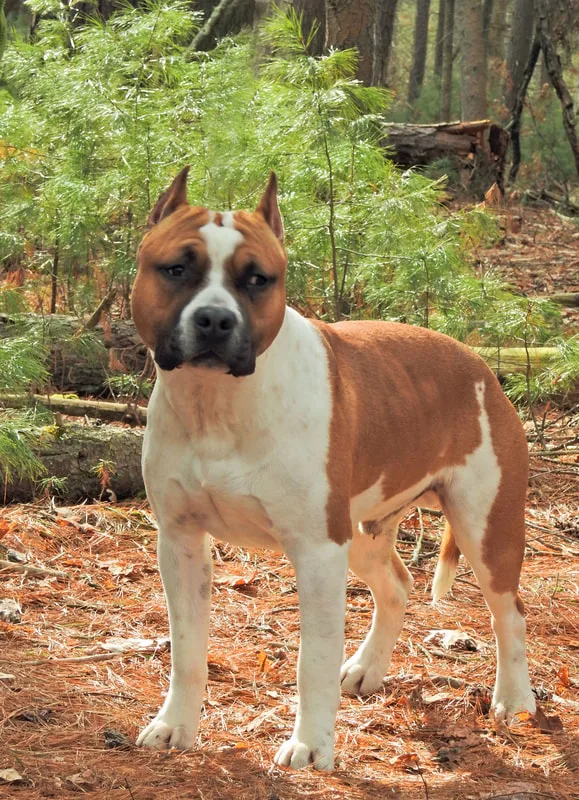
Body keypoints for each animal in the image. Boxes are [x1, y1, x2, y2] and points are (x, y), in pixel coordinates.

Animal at [131, 168, 536, 770]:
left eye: (258, 279)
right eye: (176, 269)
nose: (215, 319)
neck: (218, 404)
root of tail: (481, 366)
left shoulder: (318, 552)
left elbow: (313, 661)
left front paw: (312, 745)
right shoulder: (180, 543)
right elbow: (187, 651)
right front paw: (176, 724)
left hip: (486, 531)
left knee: (509, 613)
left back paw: (514, 699)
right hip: (362, 532)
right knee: (398, 585)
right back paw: (367, 669)